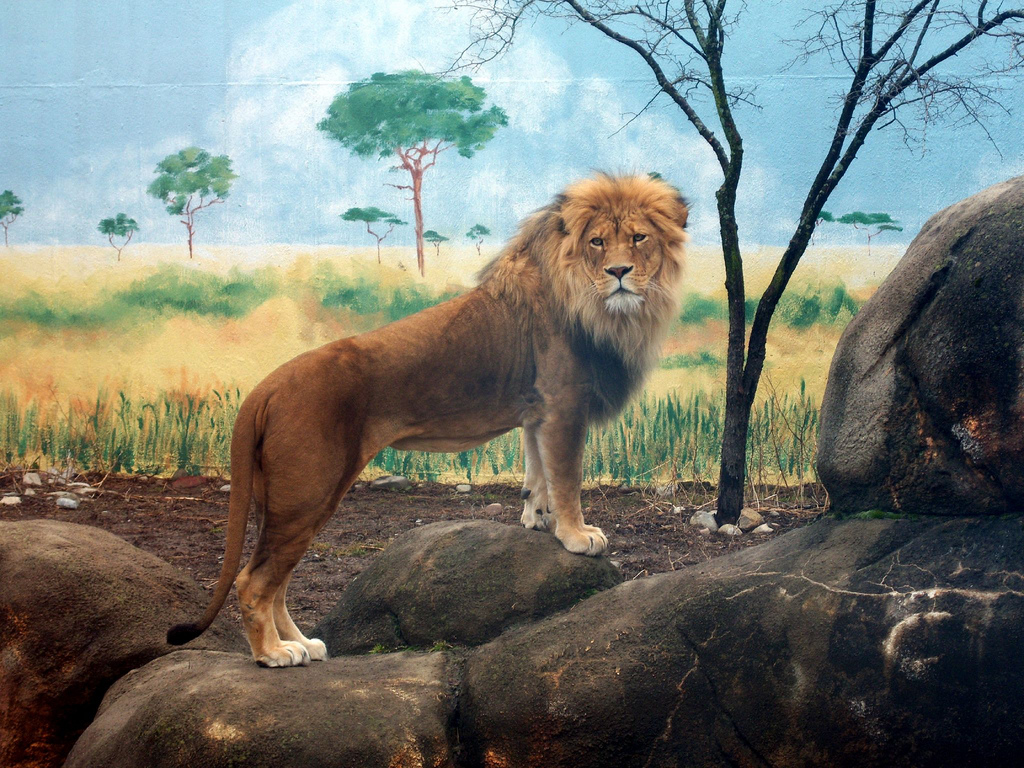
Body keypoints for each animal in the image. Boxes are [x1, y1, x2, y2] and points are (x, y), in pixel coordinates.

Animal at [167, 173, 689, 667]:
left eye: (639, 238)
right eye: (597, 242)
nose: (619, 272)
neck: (594, 300)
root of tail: (265, 387)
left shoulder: (538, 411)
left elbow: (536, 472)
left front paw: (535, 520)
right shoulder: (563, 405)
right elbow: (566, 478)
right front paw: (577, 536)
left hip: (292, 500)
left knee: (277, 580)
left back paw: (302, 645)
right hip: (305, 492)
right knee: (254, 581)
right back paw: (273, 654)